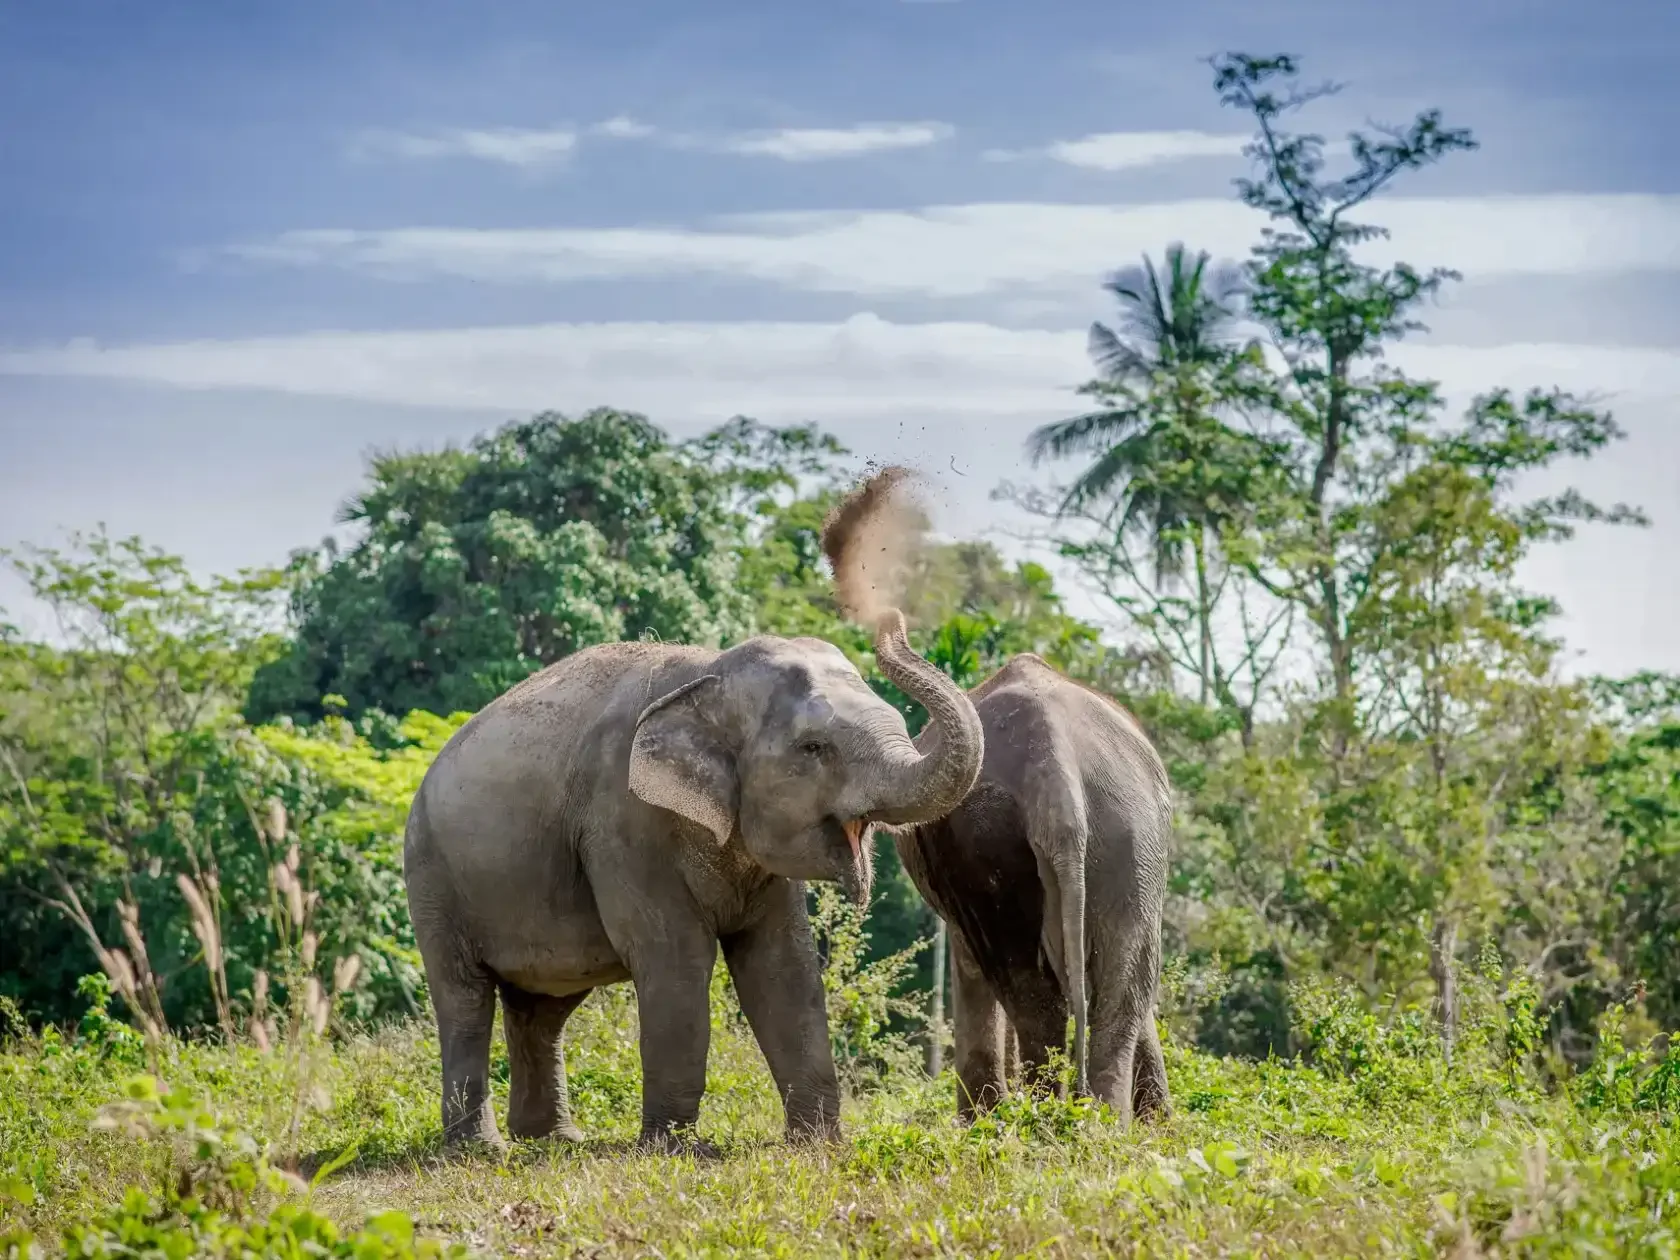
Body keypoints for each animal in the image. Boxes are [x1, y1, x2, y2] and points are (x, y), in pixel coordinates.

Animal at [402, 609, 983, 1151]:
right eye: (813, 748)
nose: (891, 619)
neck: (709, 675)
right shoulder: (623, 822)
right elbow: (677, 956)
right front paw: (675, 1150)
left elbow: (782, 965)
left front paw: (818, 1143)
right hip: (432, 880)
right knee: (465, 1001)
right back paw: (482, 1150)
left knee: (543, 1009)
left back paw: (555, 1140)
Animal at [895, 653, 1173, 1124]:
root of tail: (1054, 769)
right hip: (1131, 839)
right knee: (1119, 990)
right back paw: (1097, 1125)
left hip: (994, 842)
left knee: (1028, 989)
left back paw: (1042, 1122)